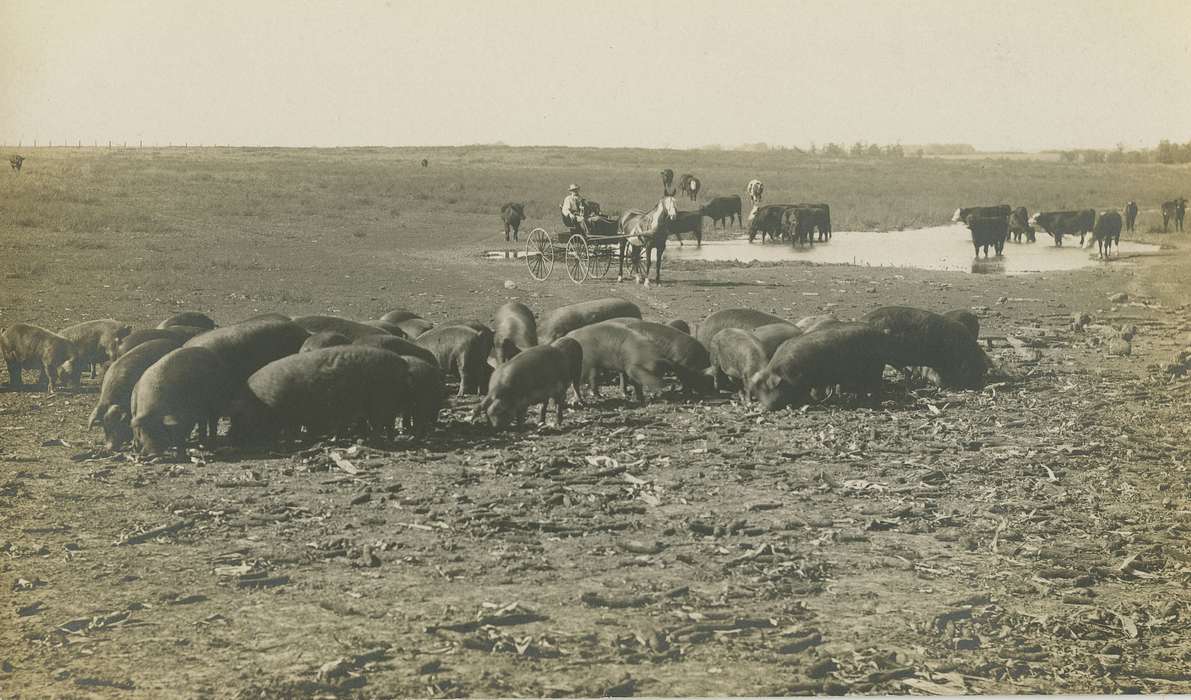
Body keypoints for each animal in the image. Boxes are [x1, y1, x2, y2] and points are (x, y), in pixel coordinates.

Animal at [229, 345, 412, 442]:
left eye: (239, 417)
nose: (232, 438)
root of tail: (401, 362)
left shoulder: (289, 414)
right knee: (387, 423)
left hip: (381, 400)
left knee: (380, 423)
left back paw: (370, 440)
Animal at [747, 323, 890, 409]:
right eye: (757, 392)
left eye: (767, 389)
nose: (766, 407)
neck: (784, 373)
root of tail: (881, 332)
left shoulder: (805, 380)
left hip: (876, 368)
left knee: (876, 386)